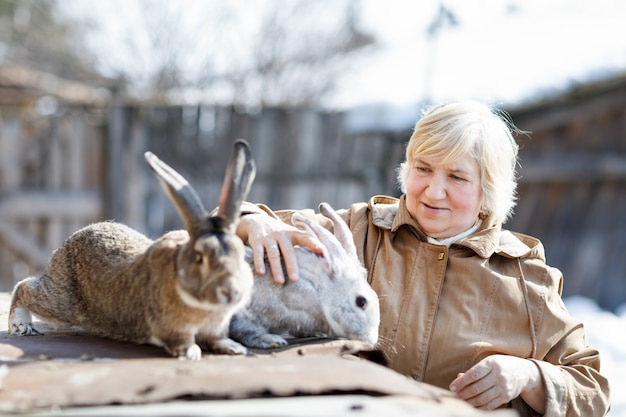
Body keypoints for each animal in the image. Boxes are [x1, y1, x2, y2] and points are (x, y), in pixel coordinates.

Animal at [7, 139, 256, 358]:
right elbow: (181, 340)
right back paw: (20, 326)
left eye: (241, 255)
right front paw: (191, 353)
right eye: (200, 258)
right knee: (24, 287)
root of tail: (72, 239)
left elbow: (217, 338)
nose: (231, 292)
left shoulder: (217, 327)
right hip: (60, 302)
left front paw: (234, 348)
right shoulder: (173, 328)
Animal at [227, 202, 378, 348]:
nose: (371, 339)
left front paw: (315, 333)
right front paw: (271, 341)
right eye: (361, 301)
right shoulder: (245, 314)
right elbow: (248, 331)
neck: (317, 290)